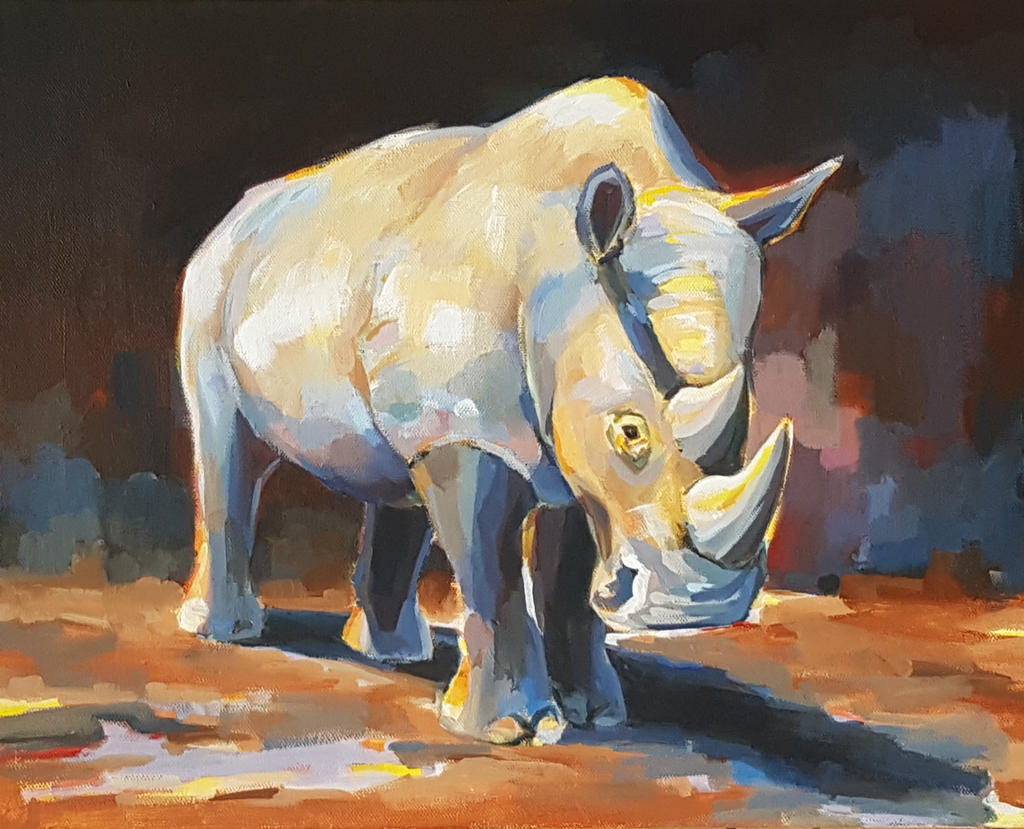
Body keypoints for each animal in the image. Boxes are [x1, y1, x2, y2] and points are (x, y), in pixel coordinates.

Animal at [176, 76, 838, 744]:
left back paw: (393, 654)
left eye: (743, 419)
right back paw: (226, 634)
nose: (701, 605)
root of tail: (241, 210)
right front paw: (508, 731)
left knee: (394, 465)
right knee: (226, 449)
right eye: (629, 433)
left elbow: (571, 571)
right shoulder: (470, 425)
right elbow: (489, 567)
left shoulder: (552, 429)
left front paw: (596, 715)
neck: (566, 268)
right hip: (211, 282)